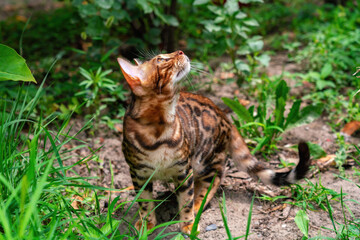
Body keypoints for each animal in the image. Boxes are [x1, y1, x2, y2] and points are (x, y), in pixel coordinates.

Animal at [117, 50, 310, 234]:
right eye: (161, 60)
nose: (180, 51)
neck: (160, 130)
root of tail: (224, 114)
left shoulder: (183, 170)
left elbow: (186, 201)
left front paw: (188, 224)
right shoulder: (138, 174)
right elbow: (144, 203)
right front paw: (146, 223)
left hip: (206, 159)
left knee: (214, 179)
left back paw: (198, 205)